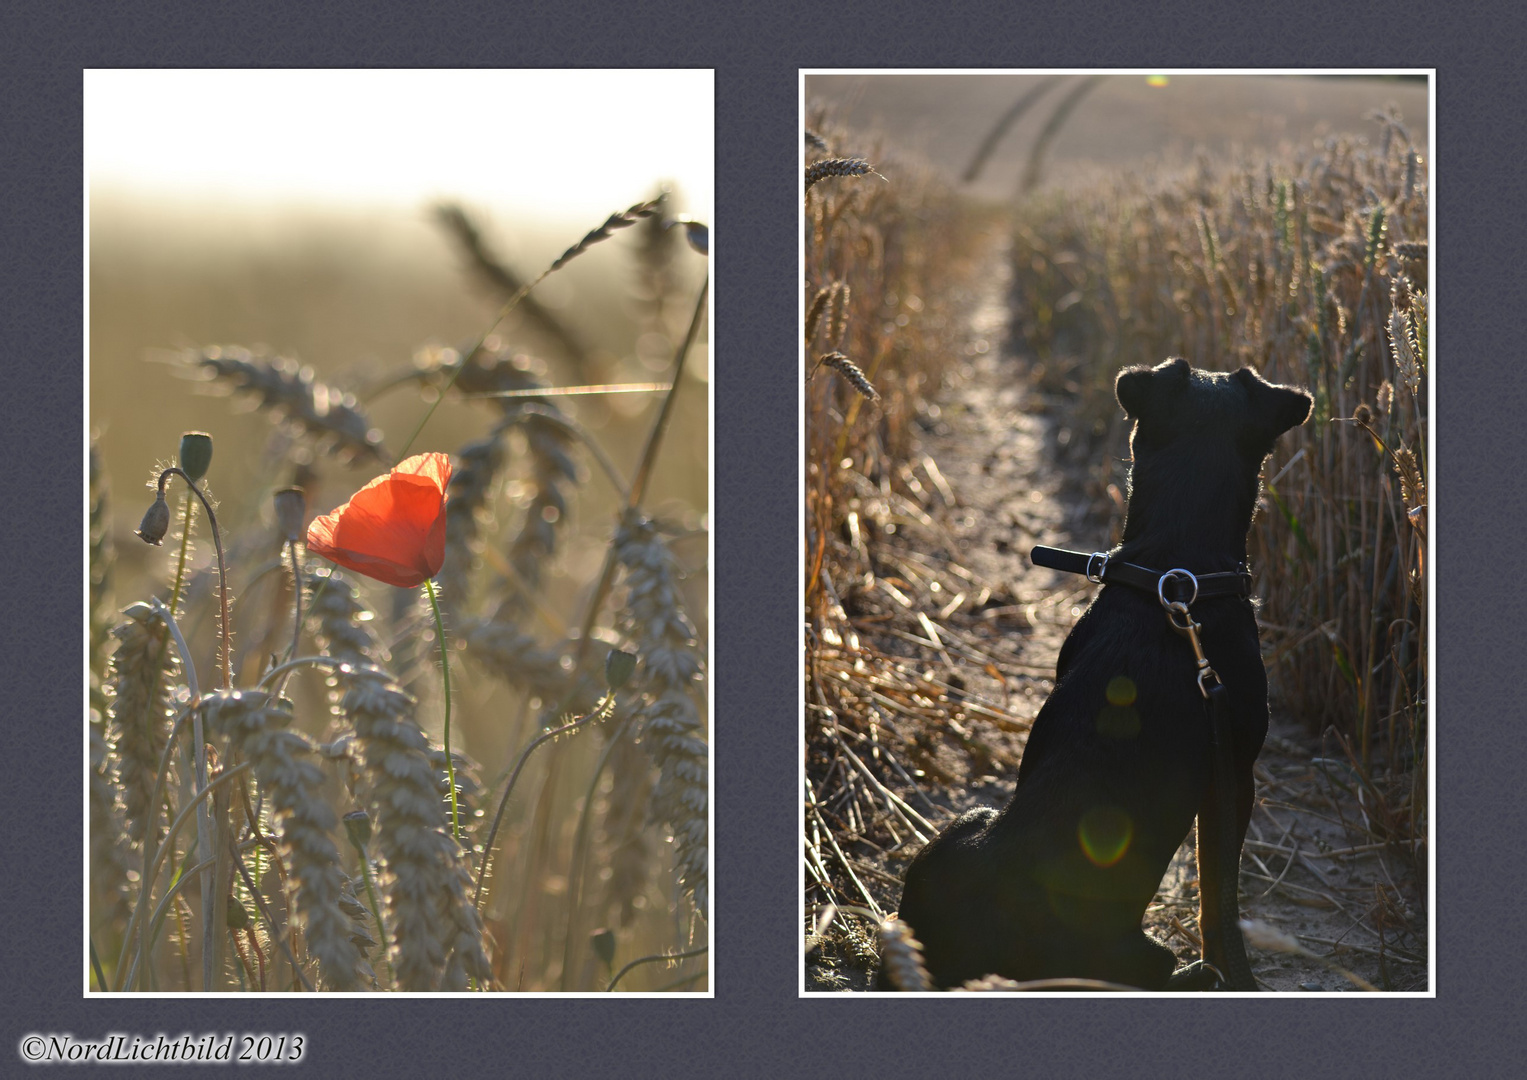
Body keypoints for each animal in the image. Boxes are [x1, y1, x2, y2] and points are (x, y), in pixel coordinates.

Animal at [891, 358, 1307, 989]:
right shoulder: (1234, 775)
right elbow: (1218, 899)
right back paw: (1197, 974)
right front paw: (1231, 970)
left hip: (954, 837)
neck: (1176, 572)